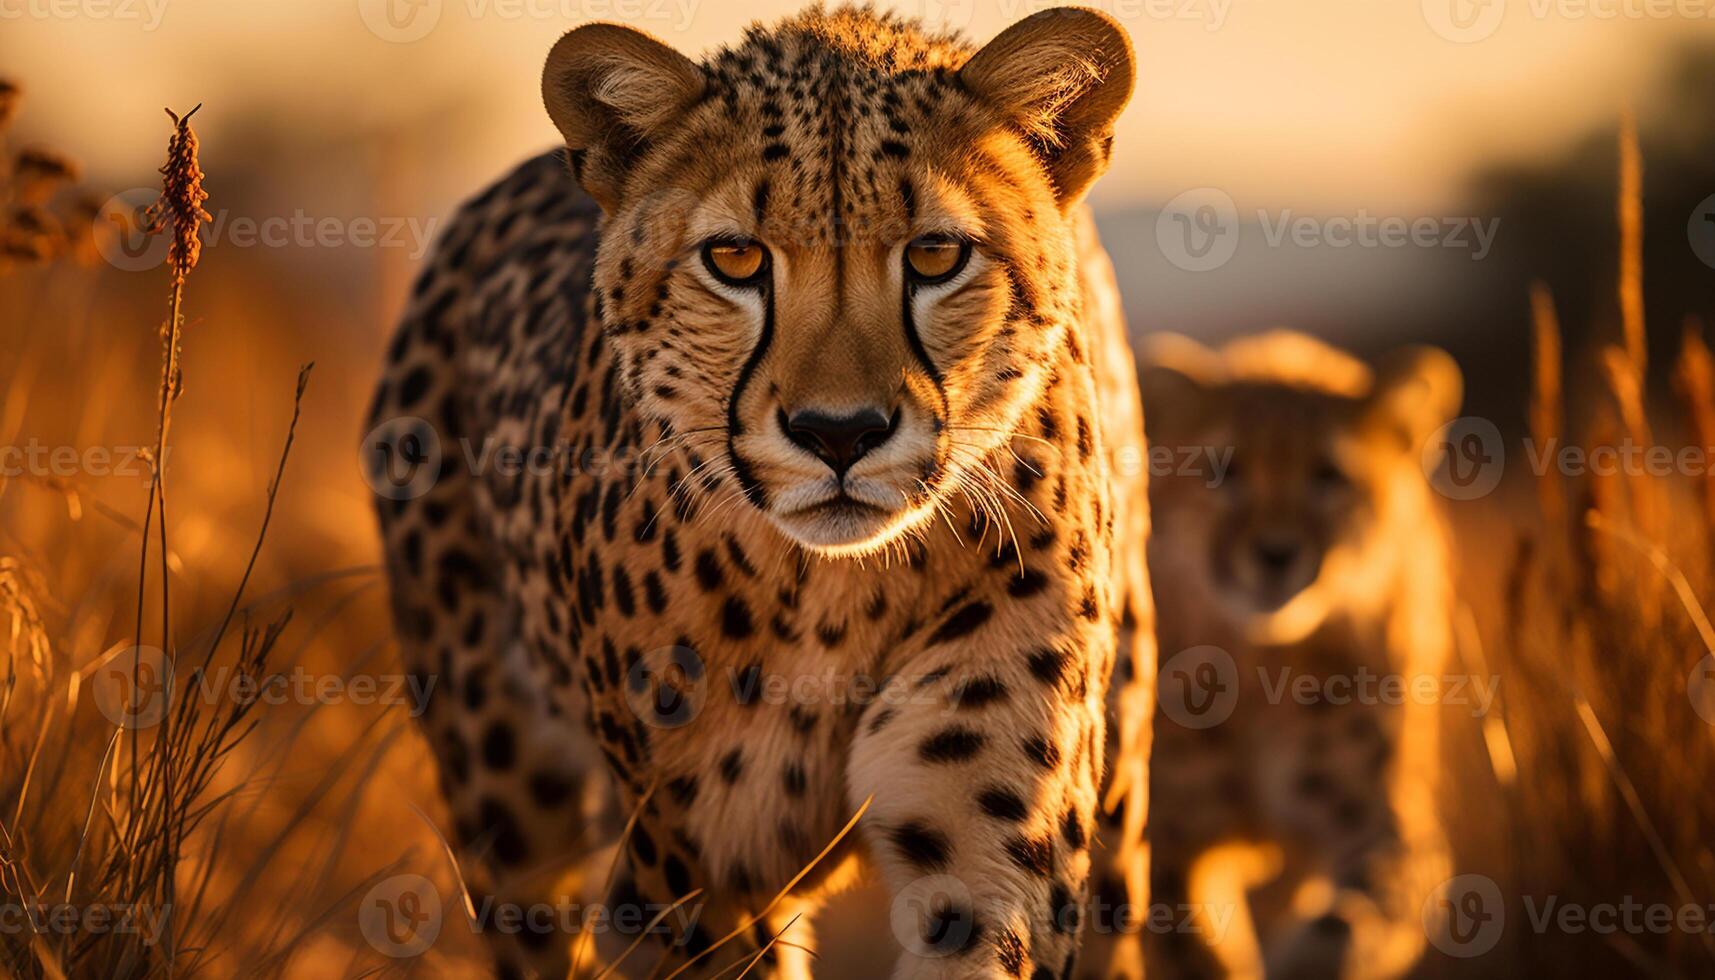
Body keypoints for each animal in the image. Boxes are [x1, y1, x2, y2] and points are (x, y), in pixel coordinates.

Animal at [368, 5, 1159, 974]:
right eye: (736, 259)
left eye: (936, 254)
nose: (839, 434)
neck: (839, 592)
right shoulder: (694, 876)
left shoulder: (989, 859)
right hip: (505, 797)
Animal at [1138, 332, 1461, 974]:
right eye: (1223, 470)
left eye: (1328, 476)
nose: (1276, 553)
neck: (1262, 666)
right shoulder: (1166, 839)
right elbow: (1188, 945)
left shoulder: (1379, 821)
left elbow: (1356, 917)